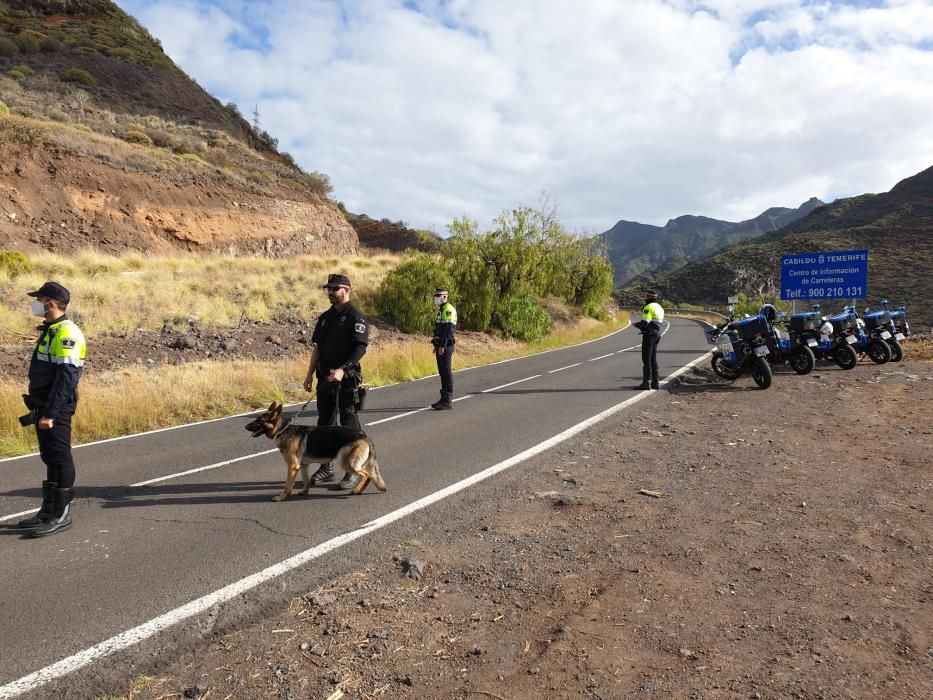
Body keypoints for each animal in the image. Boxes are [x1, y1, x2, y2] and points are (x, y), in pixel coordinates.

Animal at [244, 402, 386, 500]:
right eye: (256, 419)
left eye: (260, 421)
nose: (245, 426)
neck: (283, 430)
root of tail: (364, 436)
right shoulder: (303, 466)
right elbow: (306, 481)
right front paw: (304, 492)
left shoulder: (292, 466)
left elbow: (287, 485)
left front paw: (281, 497)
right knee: (369, 475)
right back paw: (359, 490)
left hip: (347, 463)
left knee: (367, 475)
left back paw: (356, 490)